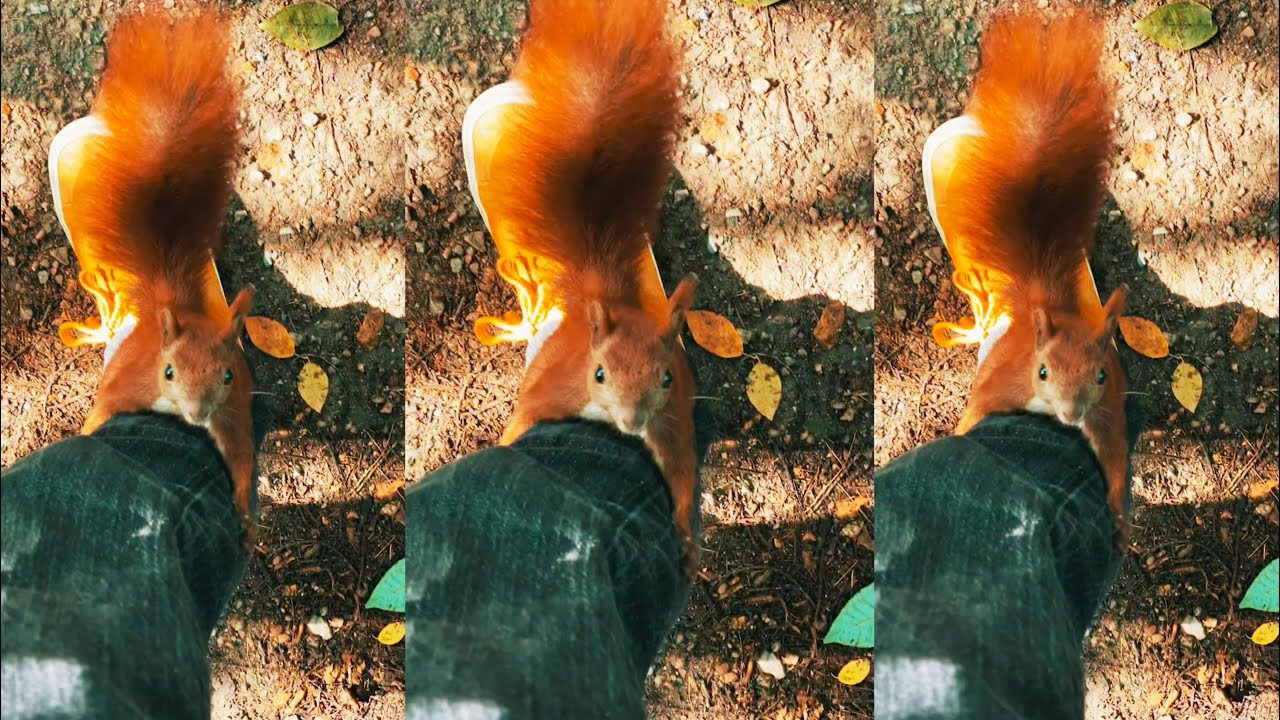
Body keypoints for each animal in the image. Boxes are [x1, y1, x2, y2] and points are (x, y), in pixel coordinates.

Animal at [60, 12, 258, 545]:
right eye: (168, 372)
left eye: (227, 374)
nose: (196, 415)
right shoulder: (128, 389)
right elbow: (102, 416)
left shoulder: (234, 418)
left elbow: (241, 466)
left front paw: (245, 518)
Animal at [481, 0, 702, 572]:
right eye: (598, 373)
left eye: (665, 377)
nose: (632, 419)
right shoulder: (553, 392)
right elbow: (522, 424)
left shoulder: (673, 429)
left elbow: (682, 481)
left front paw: (687, 544)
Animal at [940, 14, 1132, 541]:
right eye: (1042, 371)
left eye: (1101, 374)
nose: (1071, 413)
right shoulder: (1002, 389)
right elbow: (973, 419)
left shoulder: (1108, 419)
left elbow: (1114, 467)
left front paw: (1119, 519)